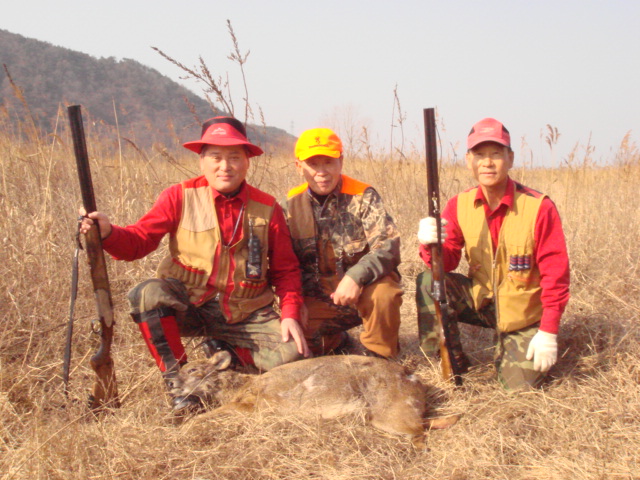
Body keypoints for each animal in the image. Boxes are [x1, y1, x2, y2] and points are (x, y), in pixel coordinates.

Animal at [169, 351, 460, 449]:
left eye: (192, 370)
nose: (170, 382)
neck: (242, 385)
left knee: (420, 430)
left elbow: (211, 414)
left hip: (389, 413)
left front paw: (182, 428)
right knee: (426, 424)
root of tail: (415, 380)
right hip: (384, 417)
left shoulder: (256, 407)